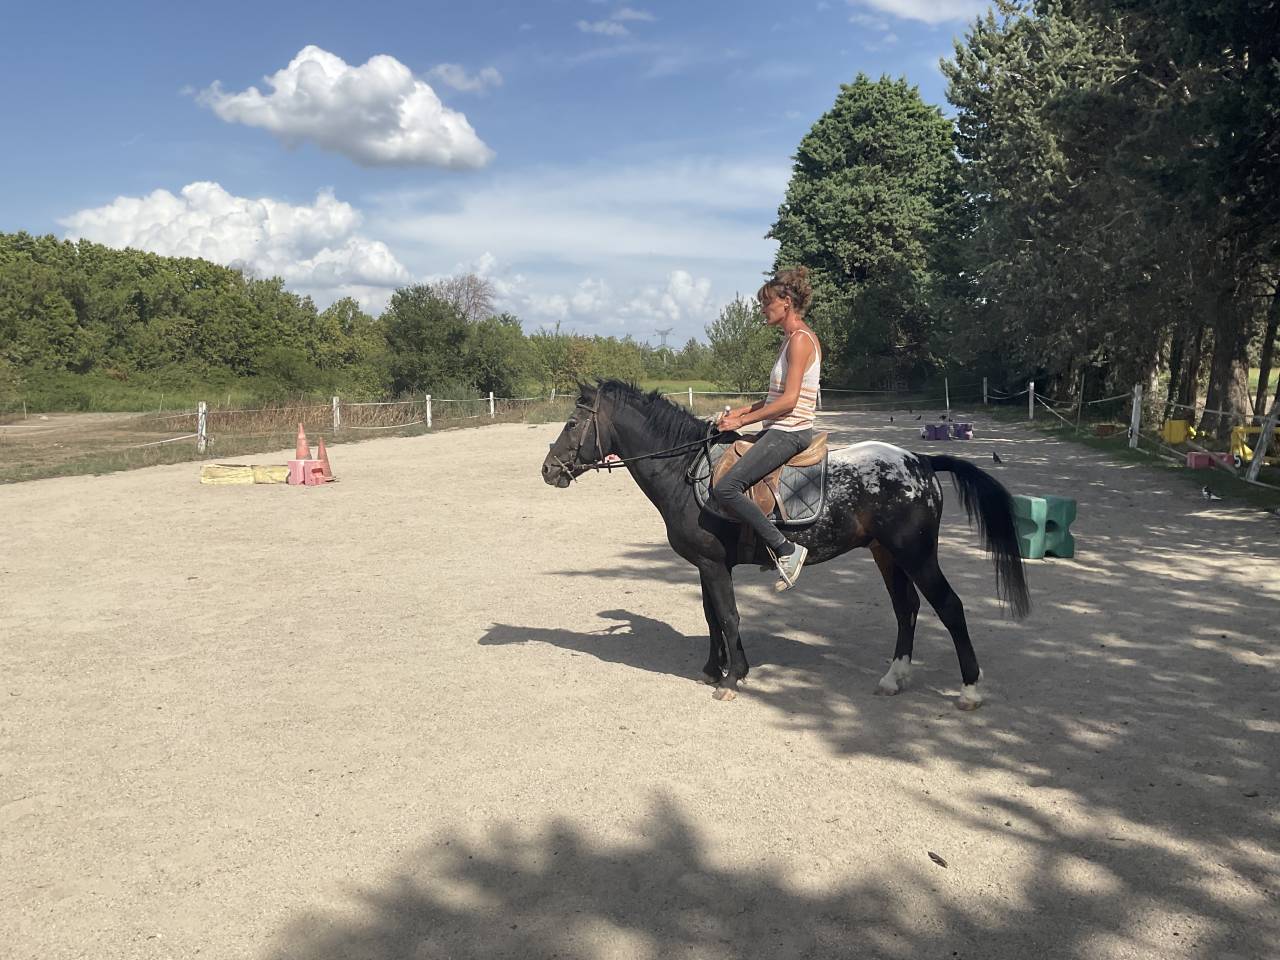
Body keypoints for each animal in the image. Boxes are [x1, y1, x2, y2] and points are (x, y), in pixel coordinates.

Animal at [540, 380, 1030, 708]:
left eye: (572, 422)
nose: (548, 469)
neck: (685, 470)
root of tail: (920, 461)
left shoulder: (713, 565)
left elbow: (729, 616)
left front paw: (732, 679)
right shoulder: (707, 564)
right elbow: (713, 617)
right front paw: (714, 669)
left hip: (915, 553)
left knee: (949, 607)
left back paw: (969, 690)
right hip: (886, 554)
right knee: (906, 608)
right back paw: (894, 678)